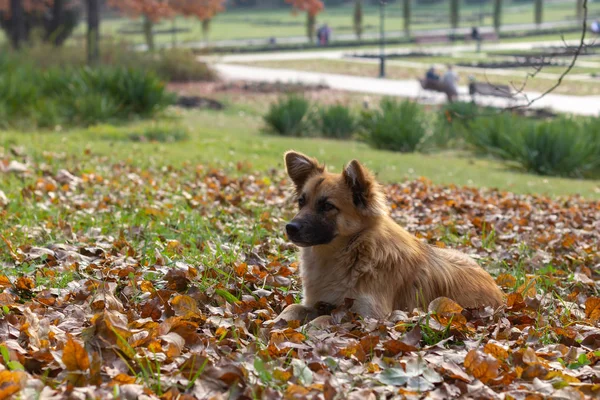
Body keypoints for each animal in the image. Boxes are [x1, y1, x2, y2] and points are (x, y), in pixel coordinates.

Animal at [278, 152, 504, 324]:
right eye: (301, 202)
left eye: (327, 206)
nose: (290, 228)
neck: (353, 252)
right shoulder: (314, 302)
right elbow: (292, 307)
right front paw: (277, 323)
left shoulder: (368, 315)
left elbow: (325, 319)